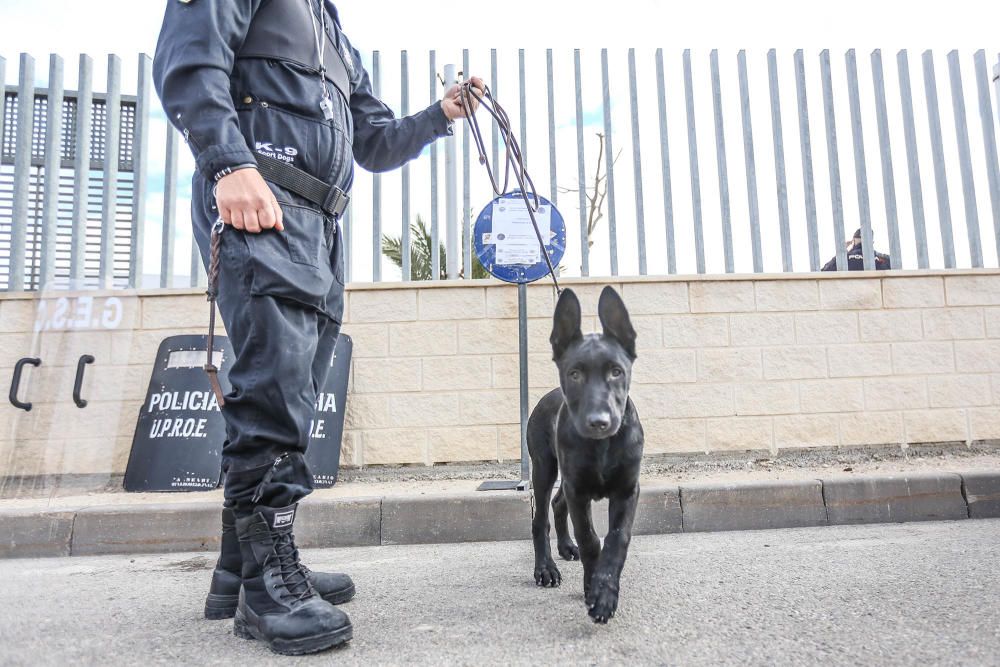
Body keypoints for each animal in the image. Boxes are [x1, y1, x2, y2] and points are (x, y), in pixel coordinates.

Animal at [528, 288, 644, 628]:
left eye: (617, 371)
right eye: (575, 374)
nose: (598, 422)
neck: (602, 446)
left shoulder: (627, 490)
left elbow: (617, 538)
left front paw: (605, 592)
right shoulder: (578, 489)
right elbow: (591, 539)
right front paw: (593, 589)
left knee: (557, 504)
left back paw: (566, 547)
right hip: (544, 468)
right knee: (540, 517)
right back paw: (546, 568)